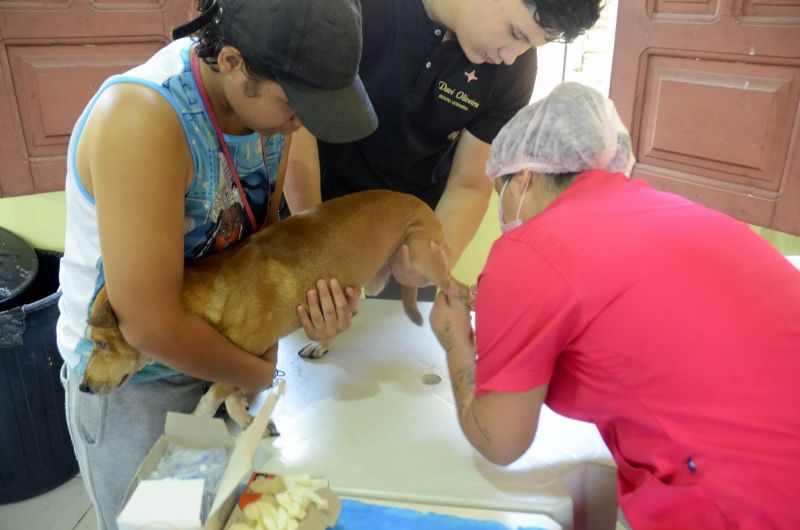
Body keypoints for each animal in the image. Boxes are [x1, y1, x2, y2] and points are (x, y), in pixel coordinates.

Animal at [80, 192, 472, 426]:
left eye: (100, 343)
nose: (83, 387)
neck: (221, 289)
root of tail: (419, 203)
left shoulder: (249, 351)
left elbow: (215, 394)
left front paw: (201, 418)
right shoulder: (238, 357)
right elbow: (230, 393)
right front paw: (247, 418)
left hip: (422, 255)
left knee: (461, 289)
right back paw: (321, 344)